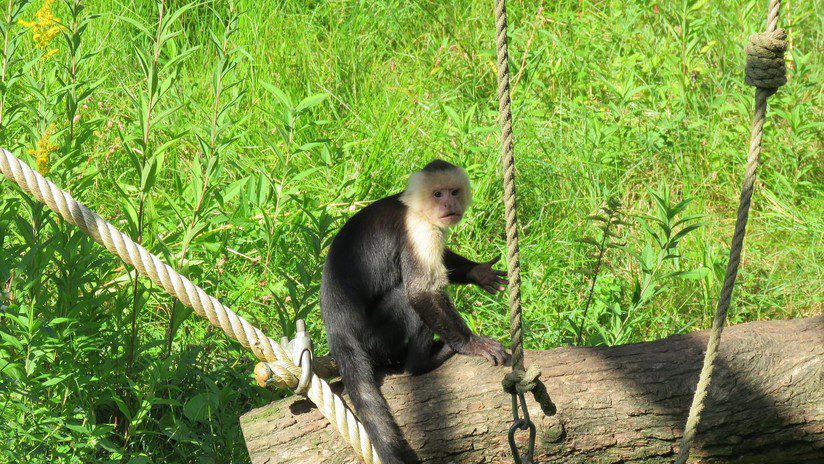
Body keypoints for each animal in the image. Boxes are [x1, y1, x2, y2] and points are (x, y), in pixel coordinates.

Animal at [321, 159, 510, 464]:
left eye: (454, 192)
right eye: (437, 194)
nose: (448, 204)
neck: (415, 207)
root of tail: (337, 332)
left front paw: (478, 272)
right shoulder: (418, 229)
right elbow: (421, 292)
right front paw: (472, 344)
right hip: (375, 336)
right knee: (406, 301)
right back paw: (420, 363)